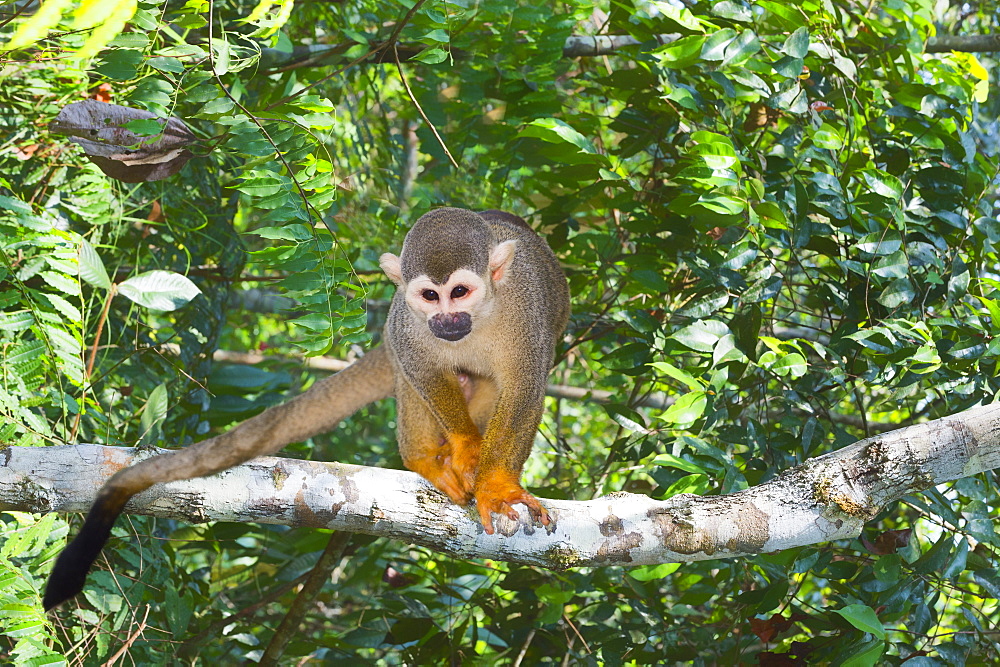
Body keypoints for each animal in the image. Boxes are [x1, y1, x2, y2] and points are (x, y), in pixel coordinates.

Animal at [43, 207, 572, 612]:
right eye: (430, 295)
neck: (478, 319)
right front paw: (465, 449)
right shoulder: (406, 318)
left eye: (459, 292)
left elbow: (525, 388)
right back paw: (423, 457)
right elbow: (419, 364)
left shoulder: (524, 311)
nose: (446, 320)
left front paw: (497, 486)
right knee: (412, 372)